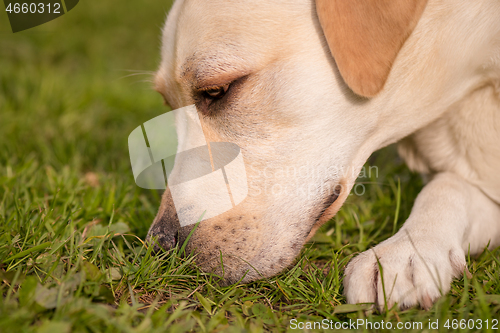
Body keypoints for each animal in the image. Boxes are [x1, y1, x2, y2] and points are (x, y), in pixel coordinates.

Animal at [146, 0, 500, 308]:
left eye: (218, 90)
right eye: (167, 104)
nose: (161, 244)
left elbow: (444, 187)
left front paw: (405, 252)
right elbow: (449, 185)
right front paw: (409, 251)